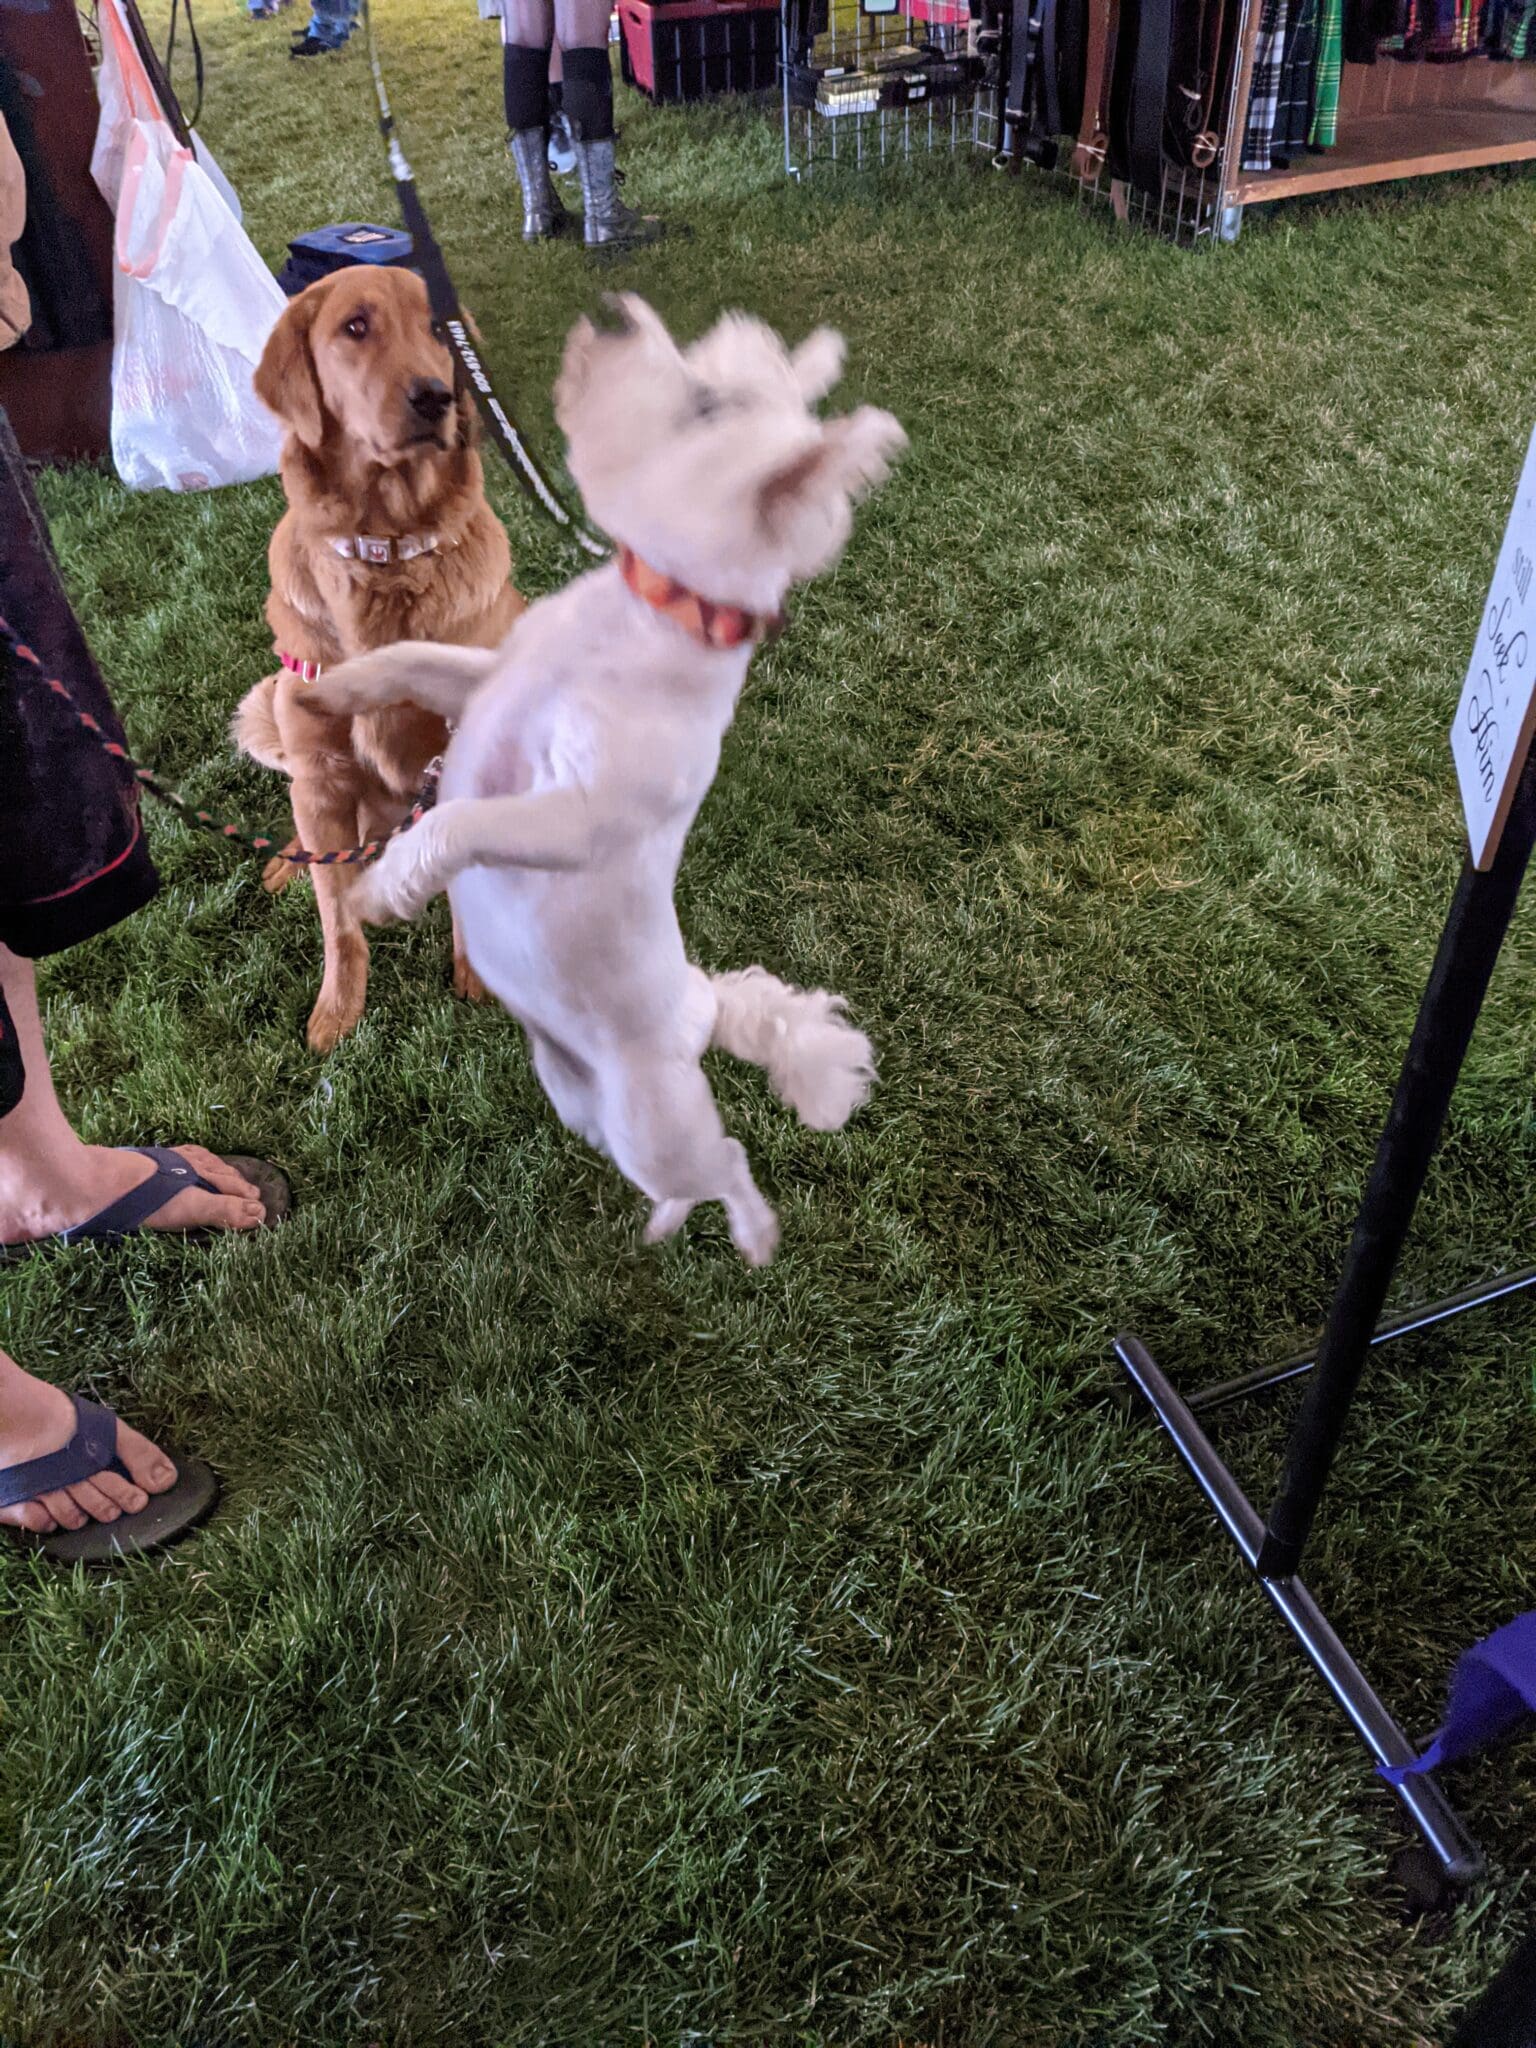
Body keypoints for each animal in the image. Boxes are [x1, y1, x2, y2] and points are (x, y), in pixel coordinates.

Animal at [237, 262, 528, 1048]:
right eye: (355, 327)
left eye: (437, 327)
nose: (434, 396)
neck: (388, 552)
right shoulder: (321, 776)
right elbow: (337, 916)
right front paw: (339, 1008)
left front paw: (477, 975)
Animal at [294, 294, 909, 1253]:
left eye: (704, 405)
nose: (614, 309)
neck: (644, 613)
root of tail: (702, 1004)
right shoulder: (486, 679)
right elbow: (410, 659)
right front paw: (330, 691)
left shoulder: (576, 814)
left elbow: (459, 822)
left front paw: (388, 885)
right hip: (577, 1096)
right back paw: (663, 1221)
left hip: (650, 1119)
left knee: (724, 1163)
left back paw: (749, 1235)